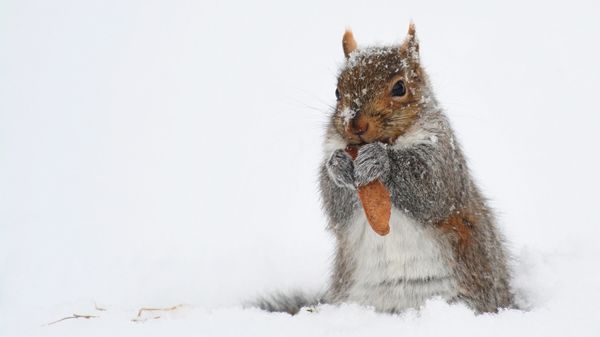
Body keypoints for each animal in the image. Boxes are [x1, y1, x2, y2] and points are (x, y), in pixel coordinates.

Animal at [253, 24, 516, 316]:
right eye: (337, 91)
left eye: (400, 87)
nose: (355, 125)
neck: (389, 142)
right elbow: (337, 207)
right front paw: (338, 166)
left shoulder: (443, 158)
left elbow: (430, 189)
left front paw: (381, 161)